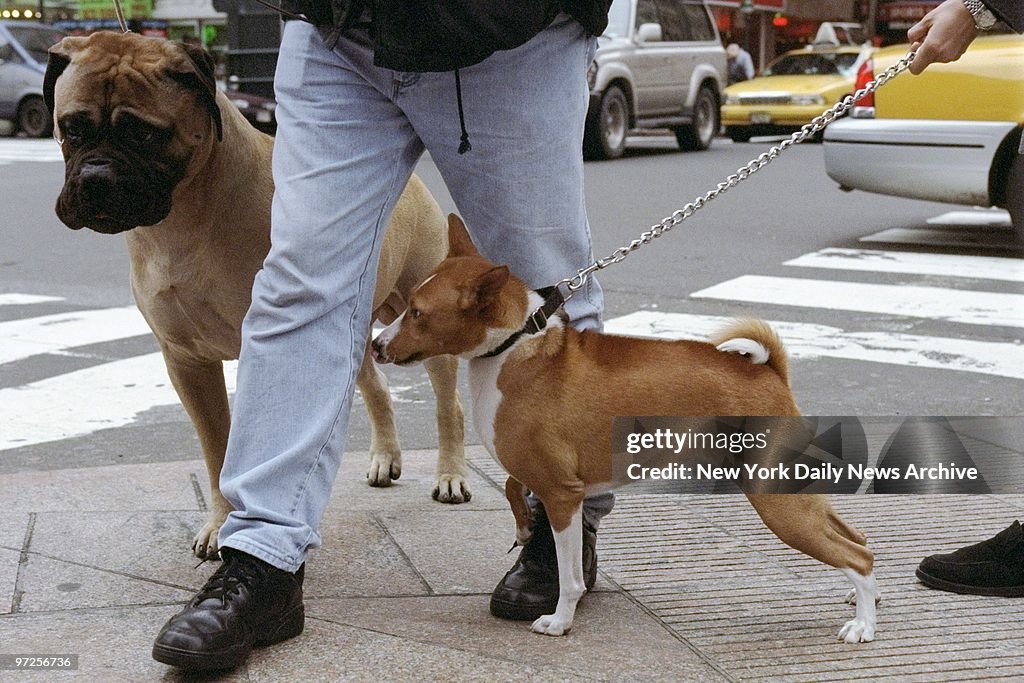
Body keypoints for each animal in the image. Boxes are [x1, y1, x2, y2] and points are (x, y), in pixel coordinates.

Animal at [41, 29, 468, 557]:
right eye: (71, 128)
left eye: (144, 134)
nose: (95, 177)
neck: (184, 214)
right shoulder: (186, 360)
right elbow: (217, 447)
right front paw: (220, 523)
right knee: (377, 387)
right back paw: (385, 458)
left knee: (449, 405)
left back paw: (451, 475)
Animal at [376, 216, 880, 643]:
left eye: (417, 313)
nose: (376, 345)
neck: (515, 346)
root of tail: (770, 371)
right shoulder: (548, 476)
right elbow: (511, 484)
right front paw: (523, 526)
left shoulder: (562, 493)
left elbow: (570, 576)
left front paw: (560, 620)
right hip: (793, 488)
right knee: (856, 539)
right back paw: (863, 598)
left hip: (774, 497)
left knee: (857, 554)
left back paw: (863, 626)